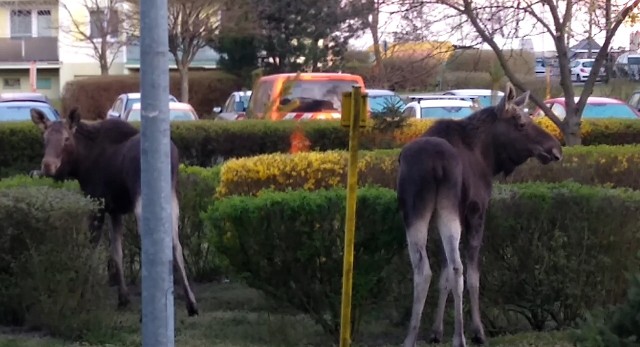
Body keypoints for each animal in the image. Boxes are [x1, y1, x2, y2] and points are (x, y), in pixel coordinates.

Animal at [30, 108, 199, 318]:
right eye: (44, 138)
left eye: (67, 138)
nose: (48, 165)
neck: (80, 164)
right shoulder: (115, 210)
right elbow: (117, 252)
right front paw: (123, 297)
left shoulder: (97, 203)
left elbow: (92, 250)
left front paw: (82, 293)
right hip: (171, 196)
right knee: (176, 243)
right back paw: (191, 303)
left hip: (142, 196)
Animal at [398, 82, 564, 347]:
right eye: (521, 122)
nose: (555, 150)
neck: (488, 157)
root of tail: (434, 163)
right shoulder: (476, 211)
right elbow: (473, 274)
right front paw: (478, 331)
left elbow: (443, 273)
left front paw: (436, 331)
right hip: (449, 210)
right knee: (458, 268)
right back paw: (460, 337)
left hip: (415, 210)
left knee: (423, 269)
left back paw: (411, 337)